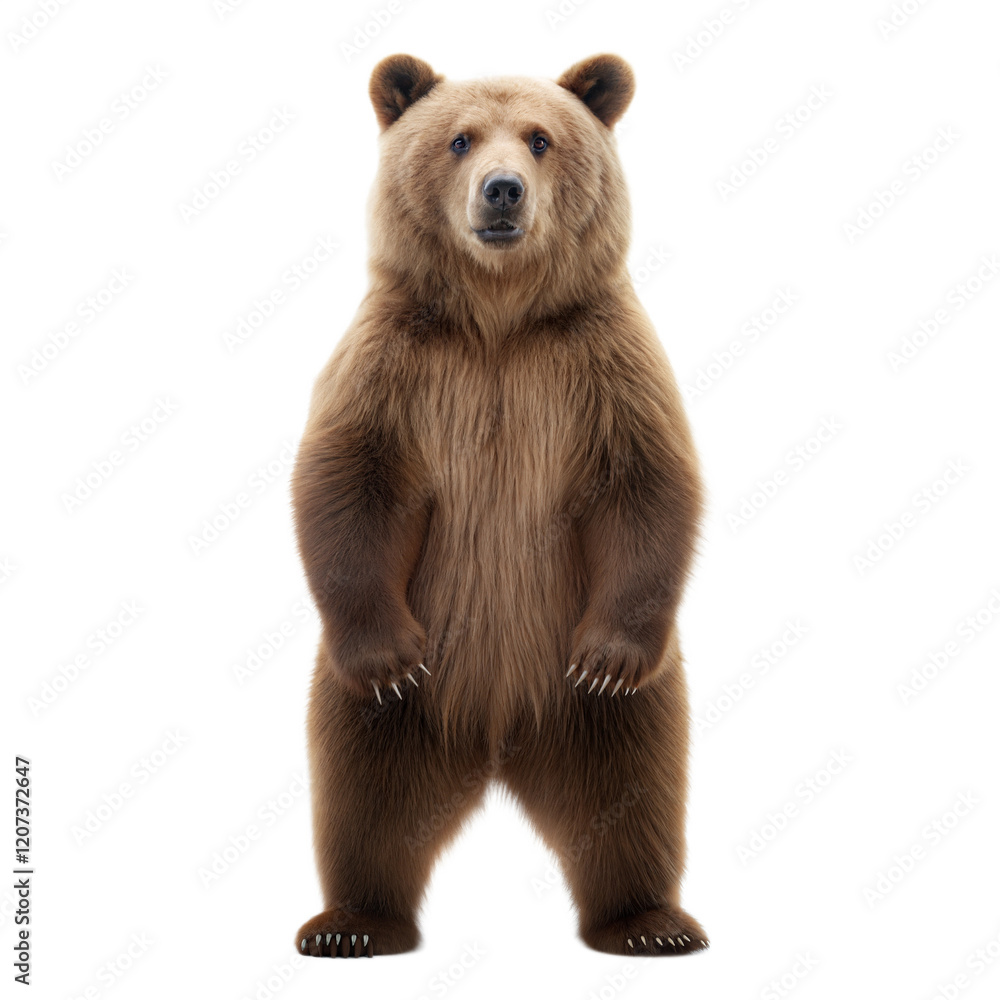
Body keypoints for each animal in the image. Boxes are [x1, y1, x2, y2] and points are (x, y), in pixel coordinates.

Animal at [292, 53, 707, 958]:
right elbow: (346, 482)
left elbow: (648, 485)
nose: (503, 190)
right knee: (361, 788)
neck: (498, 320)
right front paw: (390, 658)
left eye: (541, 138)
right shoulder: (396, 362)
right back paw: (352, 924)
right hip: (393, 698)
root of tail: (495, 740)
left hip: (597, 701)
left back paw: (649, 922)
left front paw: (607, 657)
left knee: (634, 787)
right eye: (460, 139)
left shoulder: (600, 360)